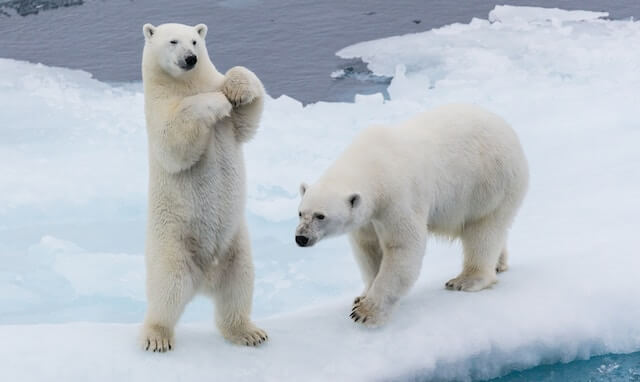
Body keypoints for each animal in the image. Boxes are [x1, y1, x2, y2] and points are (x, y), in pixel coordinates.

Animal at [140, 23, 268, 352]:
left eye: (195, 41)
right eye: (173, 41)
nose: (190, 59)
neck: (185, 84)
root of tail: (204, 280)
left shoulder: (231, 123)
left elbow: (248, 118)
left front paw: (235, 90)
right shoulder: (158, 109)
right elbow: (174, 141)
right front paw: (217, 102)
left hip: (235, 247)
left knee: (238, 285)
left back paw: (249, 332)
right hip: (172, 244)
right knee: (167, 290)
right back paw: (157, 336)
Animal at [296, 103, 528, 326]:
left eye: (320, 216)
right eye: (300, 213)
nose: (301, 238)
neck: (373, 164)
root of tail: (509, 131)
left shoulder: (398, 197)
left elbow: (402, 247)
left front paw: (366, 312)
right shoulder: (369, 216)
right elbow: (368, 248)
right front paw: (362, 296)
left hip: (489, 183)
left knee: (483, 231)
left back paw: (465, 280)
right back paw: (499, 263)